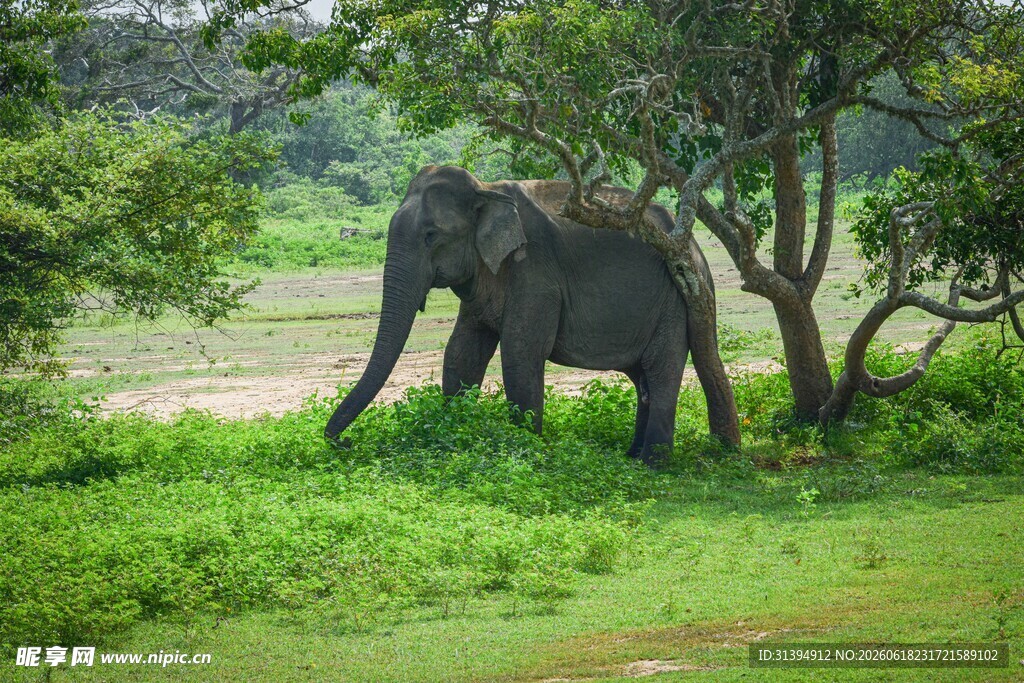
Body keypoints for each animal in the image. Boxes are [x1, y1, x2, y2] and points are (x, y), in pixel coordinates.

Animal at [325, 165, 713, 464]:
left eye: (431, 235)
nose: (345, 442)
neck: (486, 190)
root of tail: (694, 249)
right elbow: (462, 353)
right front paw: (457, 432)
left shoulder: (537, 271)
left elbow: (520, 353)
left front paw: (526, 450)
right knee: (642, 377)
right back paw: (632, 457)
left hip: (675, 299)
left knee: (661, 372)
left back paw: (652, 463)